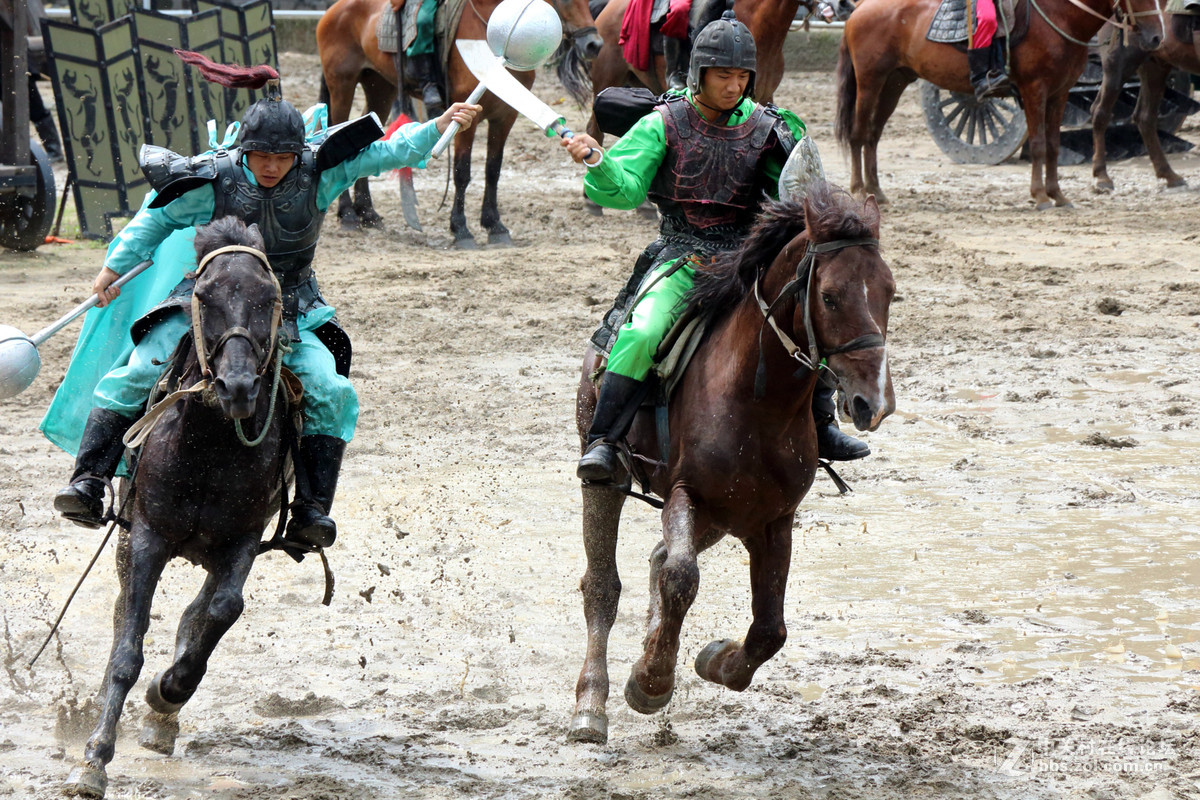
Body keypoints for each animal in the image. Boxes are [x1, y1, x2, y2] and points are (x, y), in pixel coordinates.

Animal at [65, 214, 292, 800]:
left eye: (268, 296)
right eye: (205, 295)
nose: (238, 387)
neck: (208, 442)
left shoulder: (241, 542)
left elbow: (220, 613)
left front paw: (165, 694)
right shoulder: (146, 538)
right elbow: (127, 650)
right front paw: (94, 761)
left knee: (199, 612)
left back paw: (162, 717)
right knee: (126, 620)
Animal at [316, 0, 600, 247]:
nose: (593, 45)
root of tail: (334, 10)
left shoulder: (505, 117)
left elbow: (493, 169)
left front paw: (495, 226)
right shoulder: (469, 119)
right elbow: (462, 171)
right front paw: (461, 229)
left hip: (380, 87)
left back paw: (367, 212)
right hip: (342, 84)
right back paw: (348, 214)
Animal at [566, 181, 897, 743]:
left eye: (889, 292)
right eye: (829, 296)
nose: (873, 402)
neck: (757, 402)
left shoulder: (772, 519)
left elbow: (769, 630)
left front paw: (712, 660)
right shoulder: (686, 497)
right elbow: (681, 578)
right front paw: (651, 682)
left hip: (723, 517)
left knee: (657, 558)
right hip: (609, 481)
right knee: (604, 585)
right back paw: (591, 702)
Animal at [835, 0, 1161, 209]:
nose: (1157, 37)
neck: (1059, 16)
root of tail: (860, 8)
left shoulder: (1059, 94)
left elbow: (1054, 145)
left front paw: (1057, 195)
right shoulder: (1034, 90)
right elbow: (1038, 144)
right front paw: (1040, 196)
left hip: (894, 82)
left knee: (873, 136)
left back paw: (876, 191)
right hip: (869, 82)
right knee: (858, 133)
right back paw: (859, 190)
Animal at [1094, 15, 1195, 191]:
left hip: (1154, 65)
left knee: (1145, 117)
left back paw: (1168, 174)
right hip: (1119, 64)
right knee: (1100, 112)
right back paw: (1102, 177)